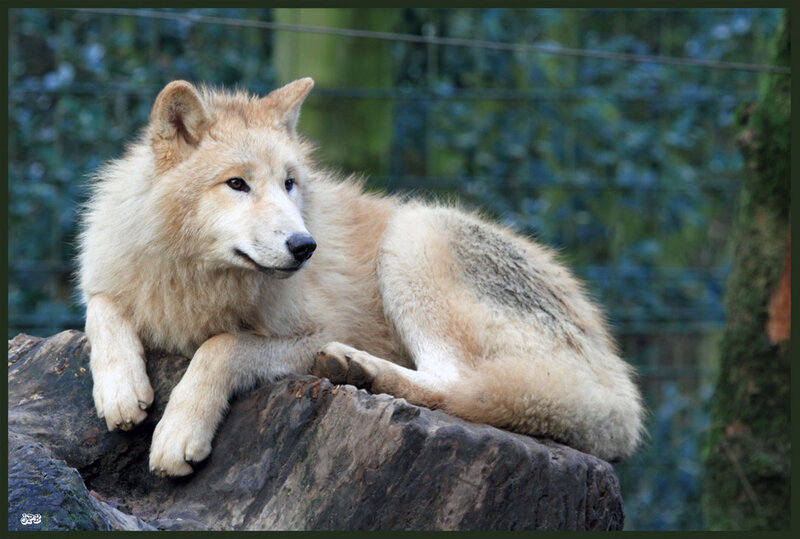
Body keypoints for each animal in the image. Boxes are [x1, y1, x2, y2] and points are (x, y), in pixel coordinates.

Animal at [77, 78, 644, 477]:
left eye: (289, 183)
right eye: (237, 184)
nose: (304, 246)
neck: (195, 281)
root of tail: (618, 387)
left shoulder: (318, 328)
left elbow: (221, 346)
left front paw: (178, 431)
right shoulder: (111, 279)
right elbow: (99, 309)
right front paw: (120, 389)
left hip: (412, 235)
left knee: (459, 385)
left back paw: (359, 370)